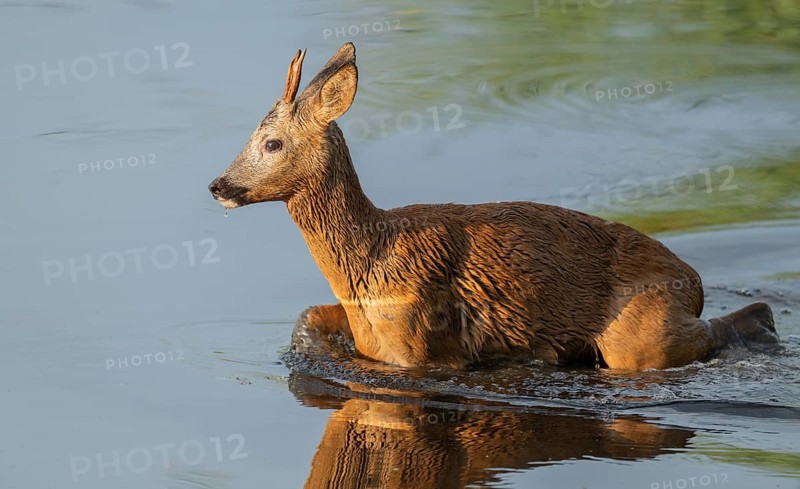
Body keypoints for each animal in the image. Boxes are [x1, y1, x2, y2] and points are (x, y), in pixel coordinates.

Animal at [208, 42, 779, 371]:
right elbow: (306, 316)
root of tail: (695, 282)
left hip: (641, 333)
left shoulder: (422, 346)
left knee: (721, 327)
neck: (370, 261)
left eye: (272, 143)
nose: (218, 185)